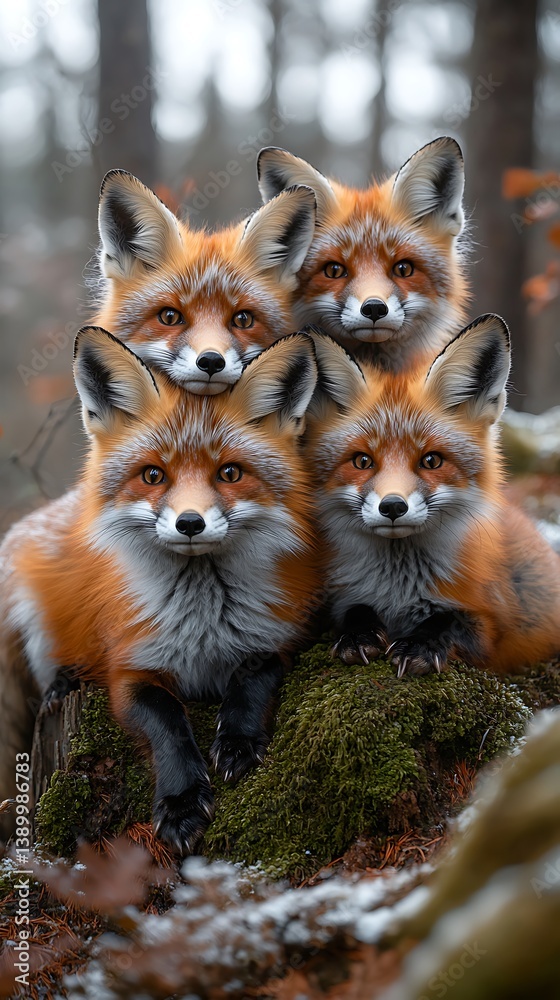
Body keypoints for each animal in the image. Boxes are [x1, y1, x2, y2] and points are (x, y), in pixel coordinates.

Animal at [0, 328, 319, 851]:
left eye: (230, 473)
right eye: (153, 475)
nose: (189, 523)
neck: (203, 628)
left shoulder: (278, 641)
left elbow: (253, 680)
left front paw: (237, 741)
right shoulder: (129, 670)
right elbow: (166, 720)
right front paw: (182, 802)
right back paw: (62, 682)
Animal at [305, 317, 560, 676]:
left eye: (431, 461)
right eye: (362, 461)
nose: (392, 506)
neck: (398, 590)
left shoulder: (492, 629)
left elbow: (449, 619)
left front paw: (420, 644)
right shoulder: (337, 601)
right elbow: (353, 610)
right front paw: (358, 634)